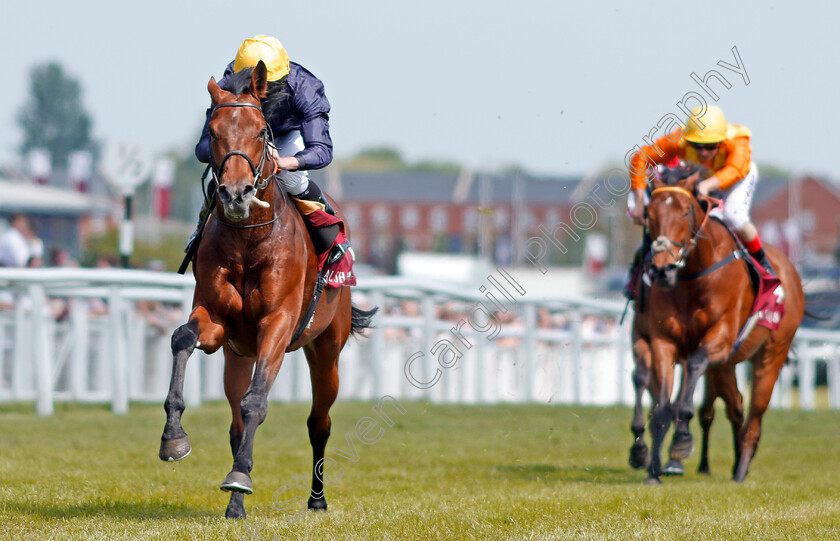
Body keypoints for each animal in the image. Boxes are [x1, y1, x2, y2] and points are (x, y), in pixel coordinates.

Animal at [159, 60, 376, 520]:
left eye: (261, 132)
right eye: (213, 130)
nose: (236, 194)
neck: (249, 240)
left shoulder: (277, 324)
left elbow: (257, 401)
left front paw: (240, 477)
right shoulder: (217, 323)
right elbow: (183, 338)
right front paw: (173, 437)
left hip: (326, 350)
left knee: (319, 423)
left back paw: (316, 499)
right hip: (237, 358)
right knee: (236, 423)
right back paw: (236, 504)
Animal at [640, 167, 804, 484]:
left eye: (685, 212)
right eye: (649, 214)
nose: (663, 269)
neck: (694, 277)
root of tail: (790, 270)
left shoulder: (720, 339)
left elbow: (691, 373)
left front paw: (681, 441)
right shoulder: (663, 342)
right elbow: (663, 405)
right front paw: (653, 470)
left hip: (772, 353)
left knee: (755, 412)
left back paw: (741, 469)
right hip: (725, 365)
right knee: (736, 405)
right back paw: (738, 459)